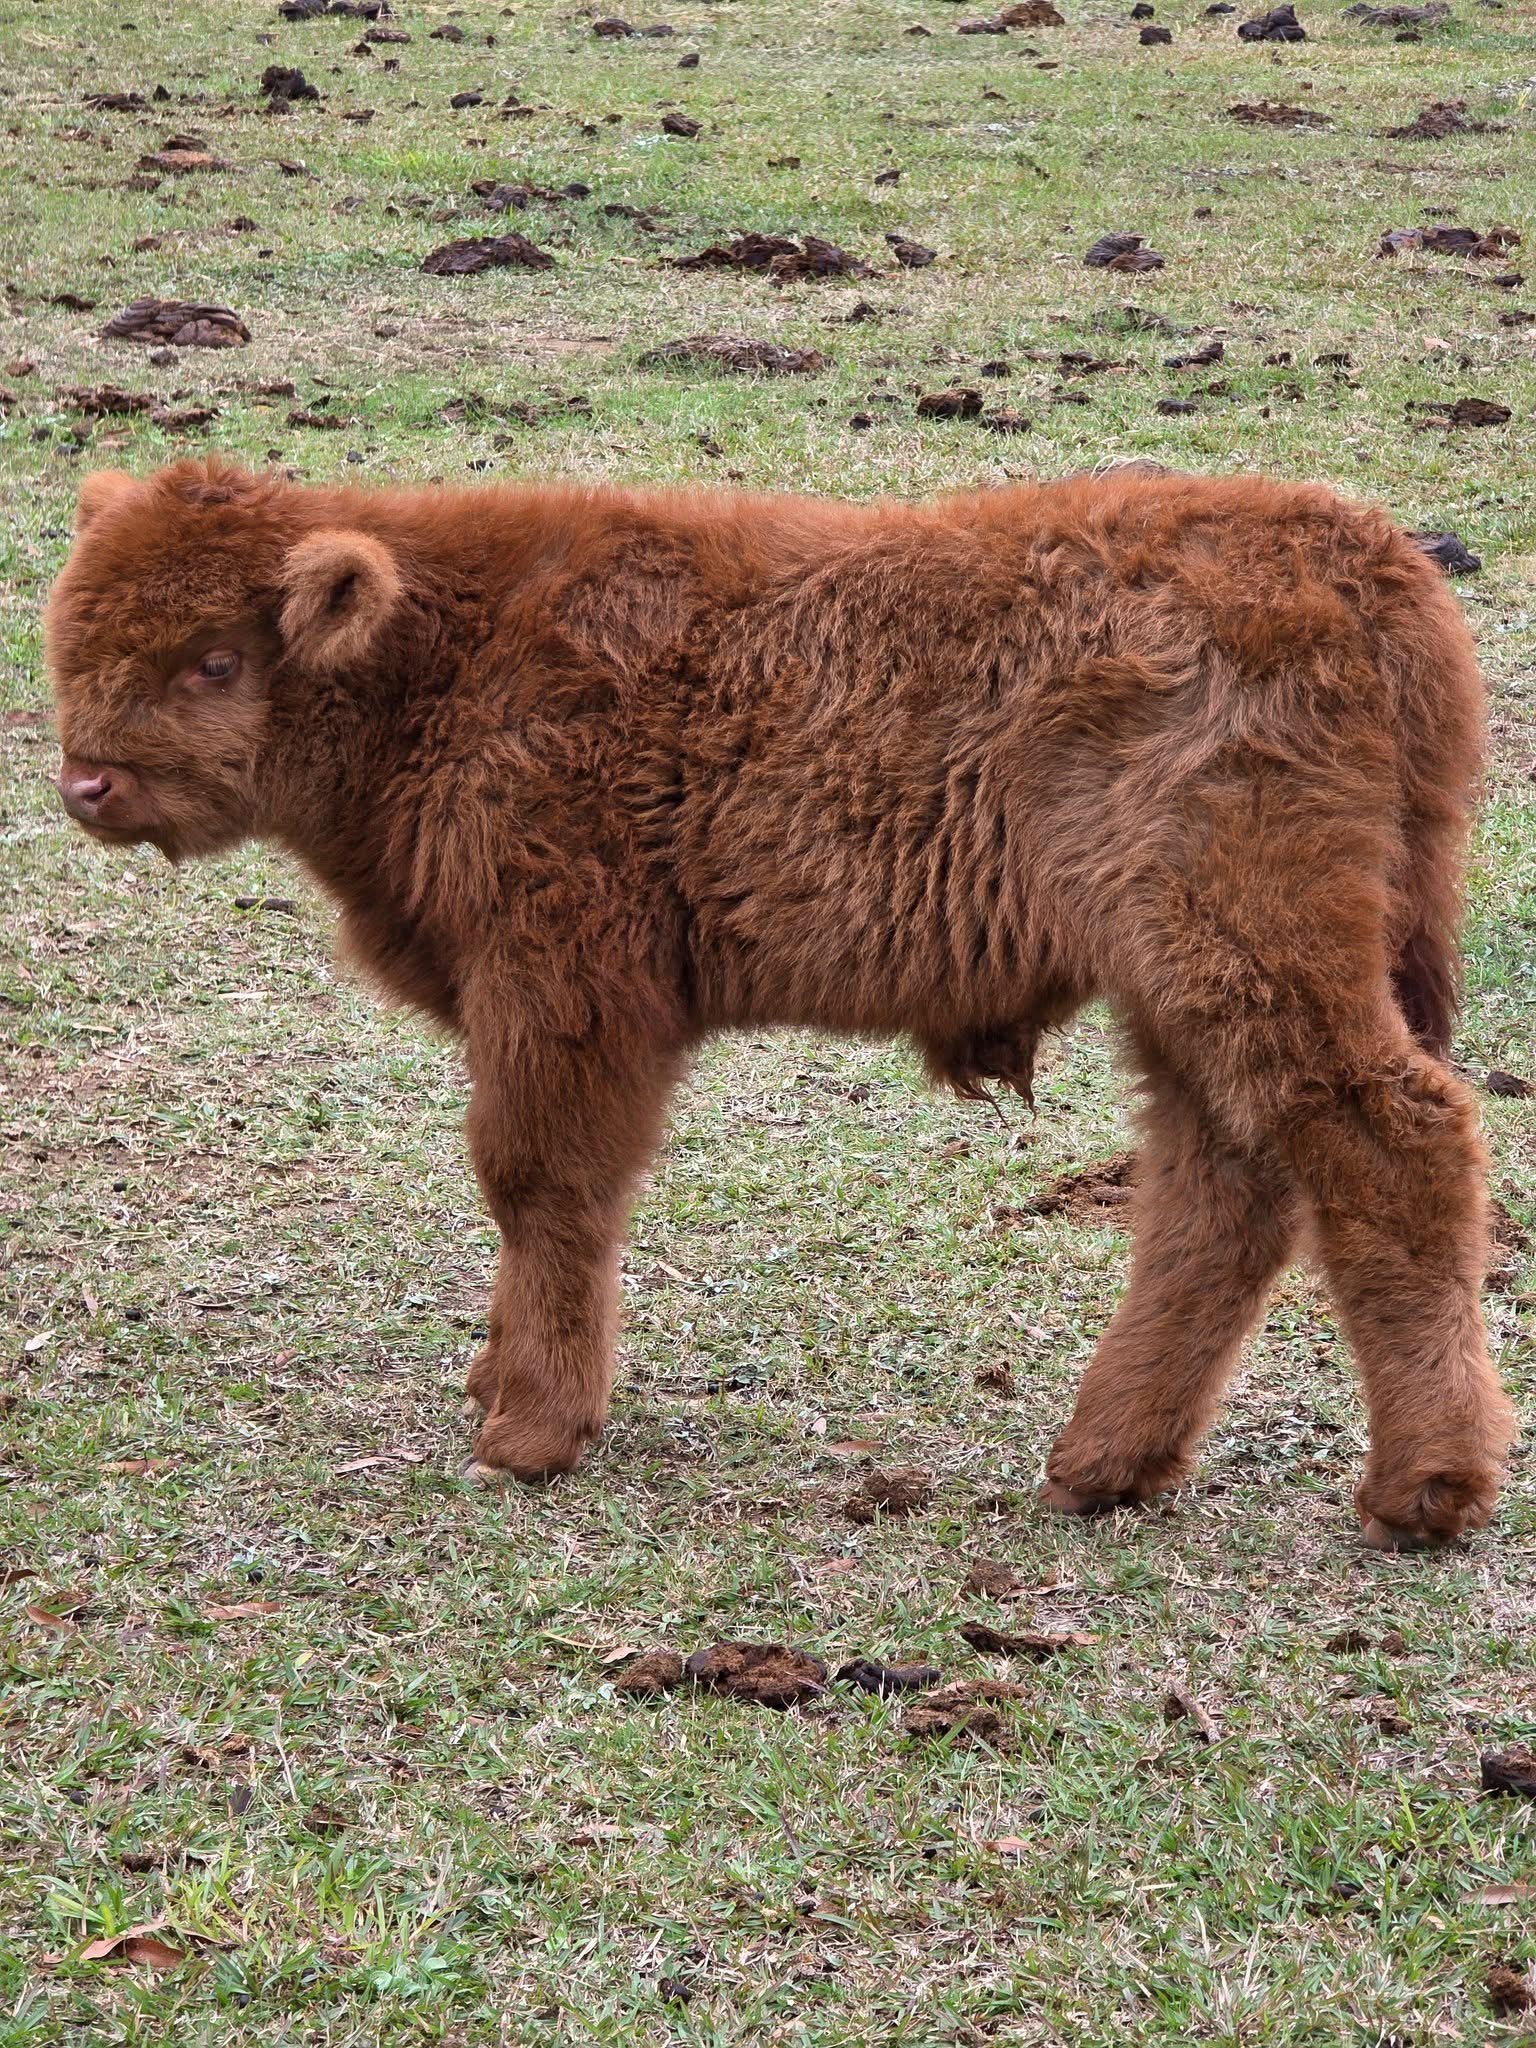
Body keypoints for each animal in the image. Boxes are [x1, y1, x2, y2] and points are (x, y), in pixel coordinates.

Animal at [45, 457, 1515, 1548]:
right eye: (76, 643)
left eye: (213, 661)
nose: (89, 782)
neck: (450, 650)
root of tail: (1356, 552)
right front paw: (499, 1379)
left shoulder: (564, 986)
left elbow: (541, 1183)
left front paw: (529, 1428)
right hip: (1182, 990)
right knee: (1225, 1189)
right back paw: (1105, 1462)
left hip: (1254, 956)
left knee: (1394, 1139)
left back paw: (1423, 1488)